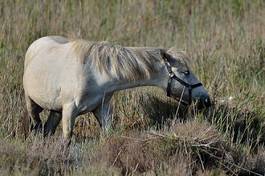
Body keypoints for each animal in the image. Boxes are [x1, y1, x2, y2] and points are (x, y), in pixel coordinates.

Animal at [22, 36, 210, 139]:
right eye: (186, 72)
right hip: (32, 105)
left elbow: (107, 135)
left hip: (55, 111)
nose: (206, 99)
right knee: (37, 126)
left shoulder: (102, 109)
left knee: (47, 129)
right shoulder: (69, 111)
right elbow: (67, 140)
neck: (95, 74)